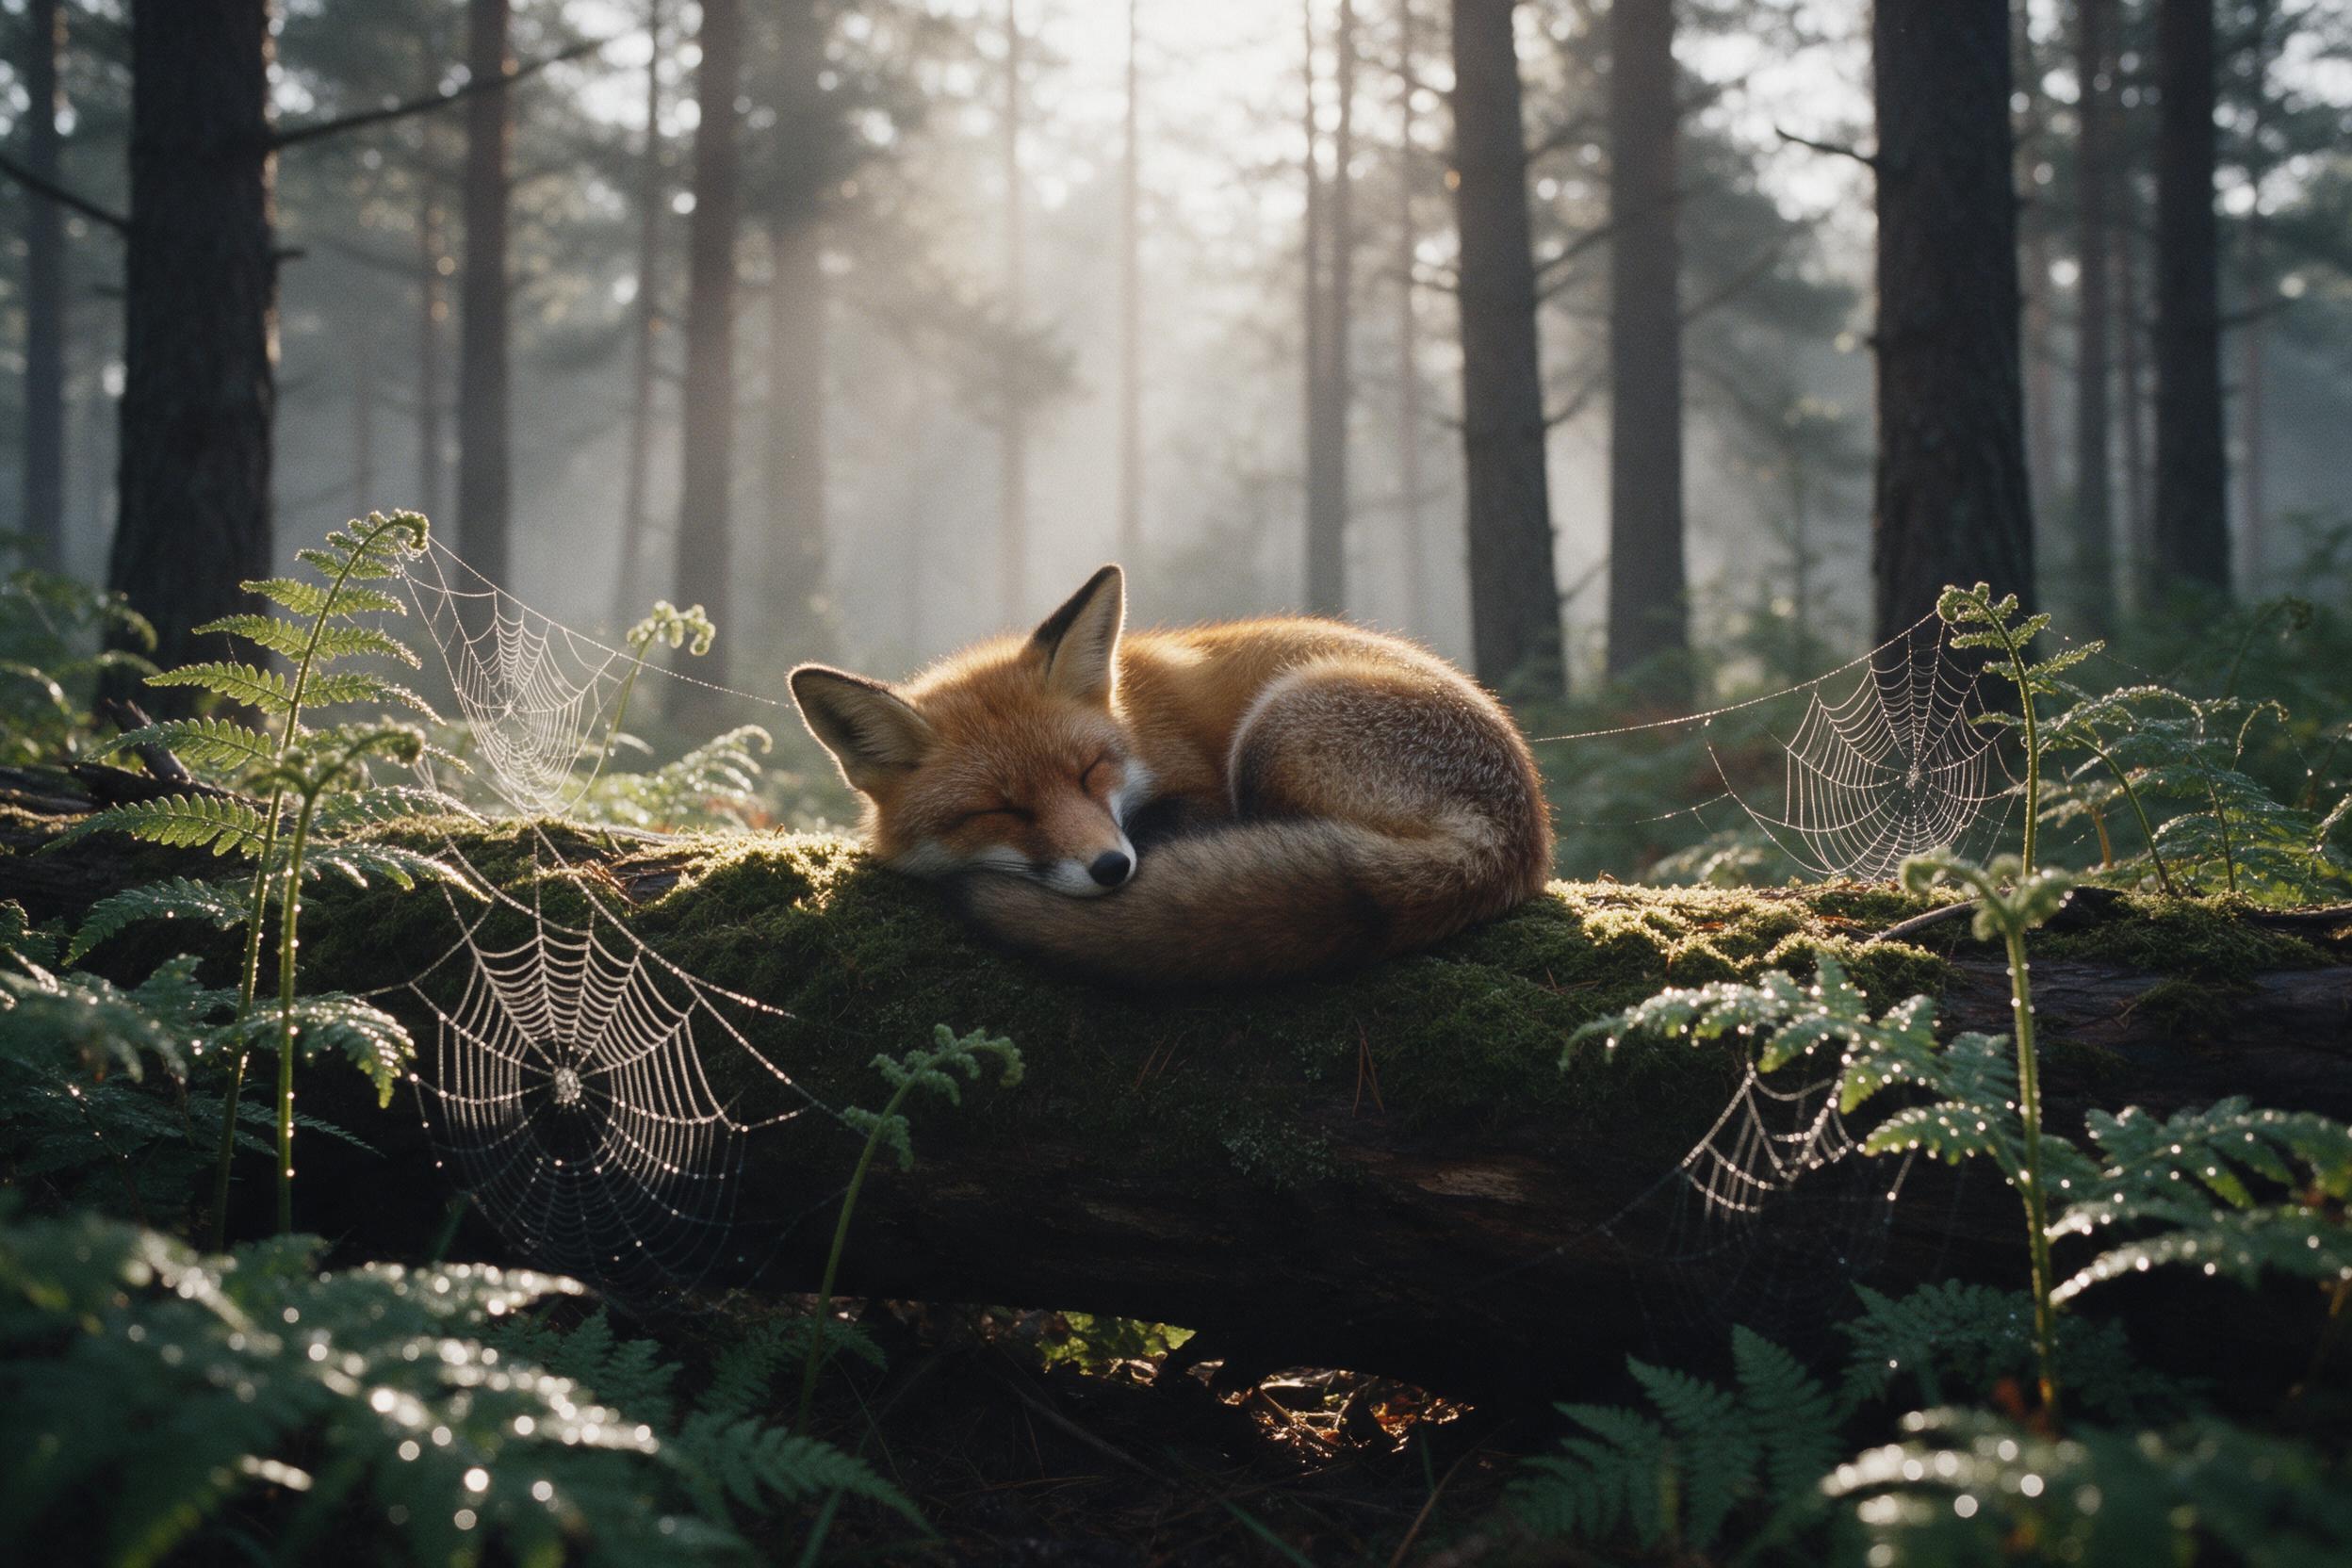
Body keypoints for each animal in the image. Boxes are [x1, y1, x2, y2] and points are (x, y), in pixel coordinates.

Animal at [786, 565, 1554, 985]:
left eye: (1090, 771)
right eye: (1001, 811)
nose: (1111, 869)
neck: (1135, 724)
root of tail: (1517, 838)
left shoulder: (1200, 789)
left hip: (1272, 729)